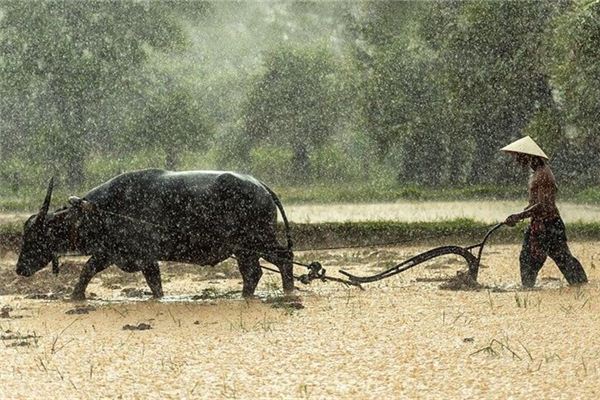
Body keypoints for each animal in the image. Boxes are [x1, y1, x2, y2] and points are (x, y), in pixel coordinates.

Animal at [15, 167, 292, 298]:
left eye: (34, 236)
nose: (19, 268)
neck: (103, 210)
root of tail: (261, 186)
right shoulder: (109, 253)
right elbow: (87, 271)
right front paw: (75, 297)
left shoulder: (144, 257)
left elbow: (154, 284)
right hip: (245, 249)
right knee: (253, 273)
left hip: (259, 240)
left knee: (284, 258)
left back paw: (288, 291)